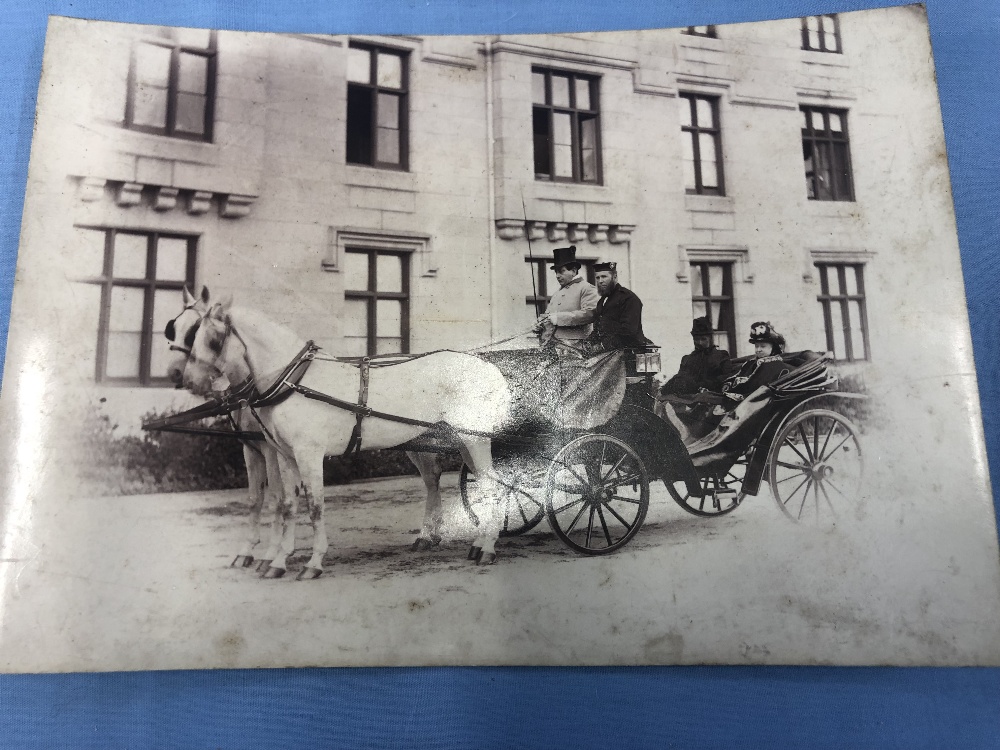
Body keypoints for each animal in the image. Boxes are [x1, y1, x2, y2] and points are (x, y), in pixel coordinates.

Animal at [175, 294, 512, 576]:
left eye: (213, 339)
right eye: (191, 334)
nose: (186, 380)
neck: (294, 381)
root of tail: (487, 367)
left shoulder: (308, 455)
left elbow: (314, 505)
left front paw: (312, 562)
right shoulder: (284, 455)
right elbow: (287, 504)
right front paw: (277, 562)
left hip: (476, 439)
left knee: (492, 485)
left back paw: (487, 548)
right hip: (464, 439)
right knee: (471, 483)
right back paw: (473, 542)